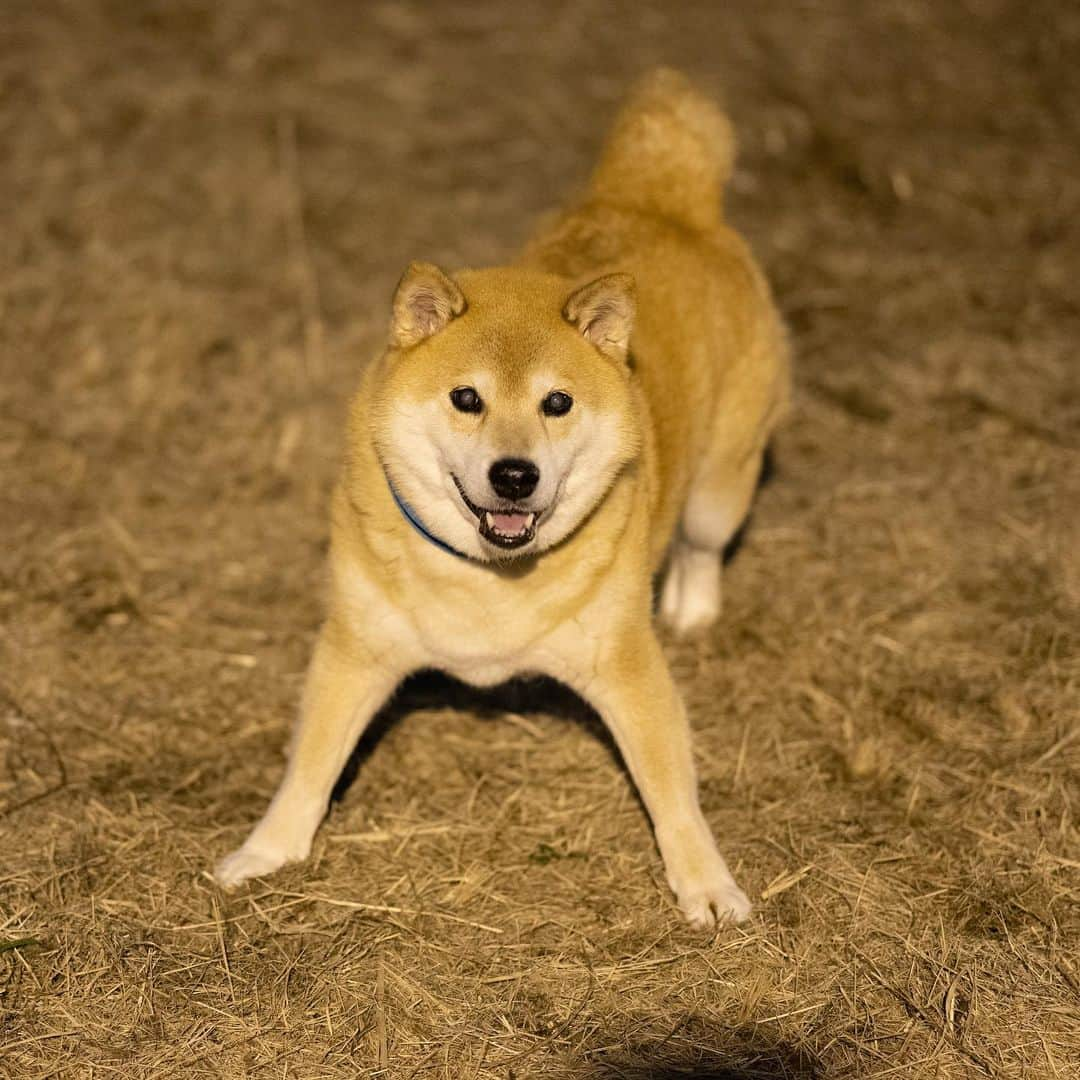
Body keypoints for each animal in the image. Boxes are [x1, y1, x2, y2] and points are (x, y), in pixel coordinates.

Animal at [221, 69, 794, 928]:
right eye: (466, 398)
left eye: (557, 403)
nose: (515, 475)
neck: (487, 580)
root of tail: (660, 194)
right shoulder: (355, 648)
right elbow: (310, 764)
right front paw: (266, 851)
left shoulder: (628, 665)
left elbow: (673, 791)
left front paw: (707, 884)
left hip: (720, 486)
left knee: (702, 546)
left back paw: (692, 606)